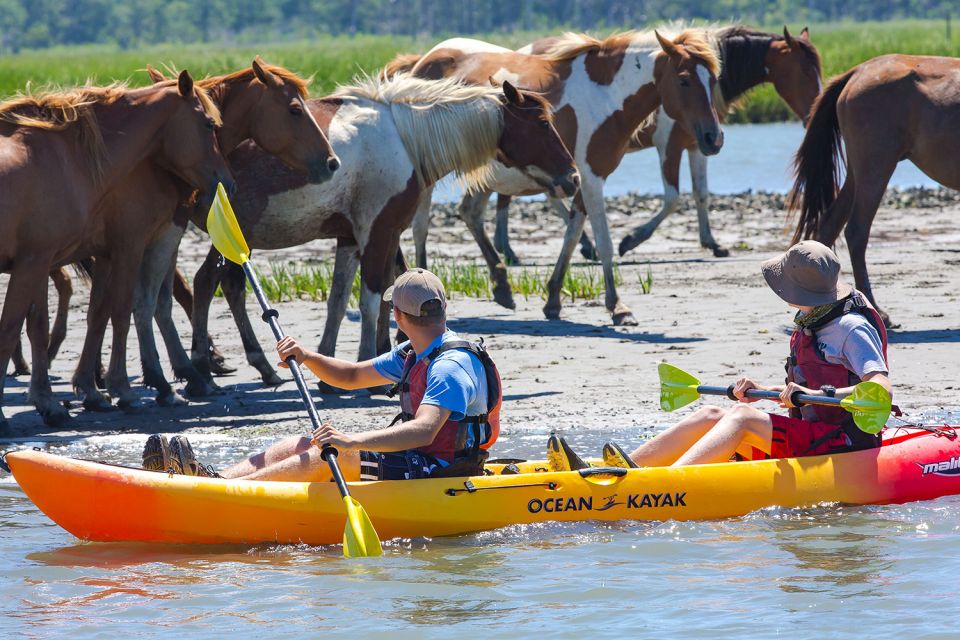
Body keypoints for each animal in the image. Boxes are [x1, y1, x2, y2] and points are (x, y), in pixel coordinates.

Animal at [0, 71, 232, 430]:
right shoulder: (120, 248)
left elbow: (72, 319)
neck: (65, 157)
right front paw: (123, 390)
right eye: (209, 124)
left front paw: (67, 398)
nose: (227, 183)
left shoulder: (53, 259)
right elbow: (121, 312)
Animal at [187, 74, 576, 384]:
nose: (572, 178)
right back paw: (199, 375)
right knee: (205, 284)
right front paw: (366, 361)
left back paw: (255, 367)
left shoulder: (353, 238)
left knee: (226, 287)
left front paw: (330, 367)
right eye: (543, 123)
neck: (403, 139)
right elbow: (373, 298)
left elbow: (342, 298)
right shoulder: (379, 231)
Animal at [396, 27, 720, 324]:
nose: (713, 138)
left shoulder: (580, 178)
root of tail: (424, 61)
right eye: (684, 80)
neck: (606, 97)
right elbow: (604, 241)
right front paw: (618, 306)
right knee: (422, 226)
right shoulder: (591, 178)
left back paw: (501, 286)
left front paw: (553, 299)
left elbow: (573, 234)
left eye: (713, 80)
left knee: (469, 213)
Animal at [492, 25, 820, 264]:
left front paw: (712, 243)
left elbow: (701, 193)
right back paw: (516, 249)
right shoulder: (670, 144)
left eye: (714, 78)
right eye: (805, 71)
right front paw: (631, 240)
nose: (814, 113)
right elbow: (673, 197)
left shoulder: (697, 144)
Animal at [788, 52, 960, 328]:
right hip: (875, 166)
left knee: (829, 225)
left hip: (857, 173)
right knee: (856, 231)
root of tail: (857, 71)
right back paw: (876, 309)